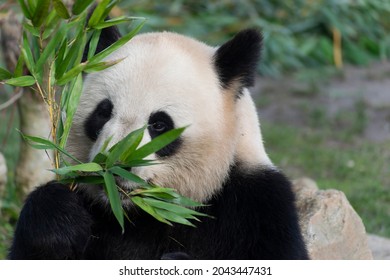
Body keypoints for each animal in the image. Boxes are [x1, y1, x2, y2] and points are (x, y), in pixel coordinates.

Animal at [7, 25, 310, 260]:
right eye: (103, 112)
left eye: (159, 124)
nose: (114, 164)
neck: (140, 213)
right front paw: (60, 217)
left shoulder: (254, 208)